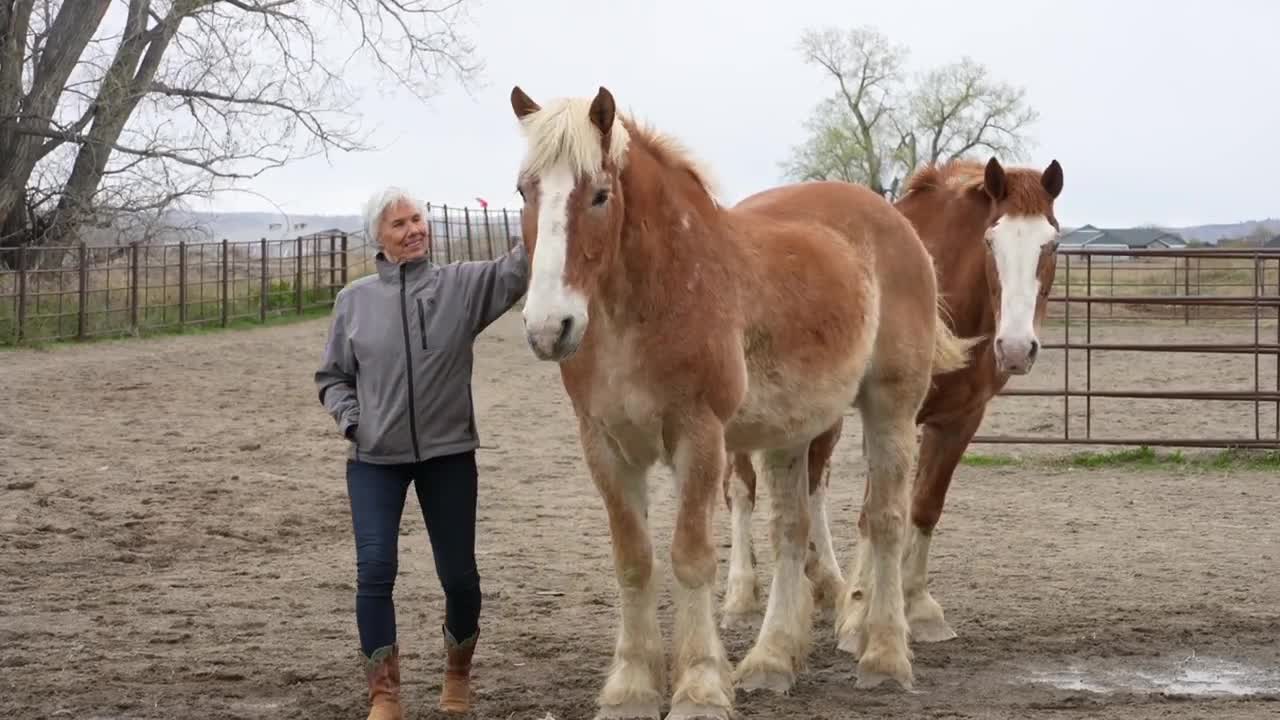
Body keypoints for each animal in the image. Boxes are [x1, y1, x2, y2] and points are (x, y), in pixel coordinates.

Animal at [507, 85, 981, 719]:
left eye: (600, 195)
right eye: (524, 190)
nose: (548, 327)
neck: (647, 304)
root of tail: (897, 222)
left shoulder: (699, 437)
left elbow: (690, 557)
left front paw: (701, 687)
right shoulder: (604, 445)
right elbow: (633, 560)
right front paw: (631, 687)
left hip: (892, 410)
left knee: (884, 519)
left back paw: (883, 654)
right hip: (791, 433)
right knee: (791, 531)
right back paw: (771, 660)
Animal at [721, 156, 1065, 652]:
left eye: (1051, 243)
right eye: (990, 240)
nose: (1017, 349)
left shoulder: (960, 420)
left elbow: (924, 505)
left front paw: (916, 607)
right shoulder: (888, 414)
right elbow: (871, 511)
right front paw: (861, 618)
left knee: (812, 482)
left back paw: (824, 584)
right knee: (741, 487)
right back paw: (742, 595)